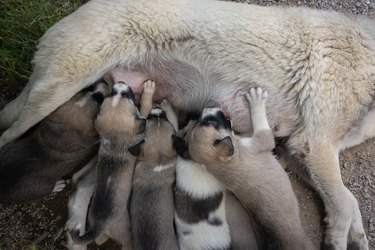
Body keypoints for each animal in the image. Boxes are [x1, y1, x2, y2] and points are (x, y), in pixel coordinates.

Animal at [70, 83, 148, 249]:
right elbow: (145, 110)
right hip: (125, 231)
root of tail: (99, 225)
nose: (119, 84)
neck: (115, 139)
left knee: (99, 239)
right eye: (126, 96)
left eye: (113, 93)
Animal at [189, 88, 316, 250]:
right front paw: (257, 100)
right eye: (209, 123)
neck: (222, 164)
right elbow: (260, 121)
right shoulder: (263, 139)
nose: (207, 107)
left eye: (204, 122)